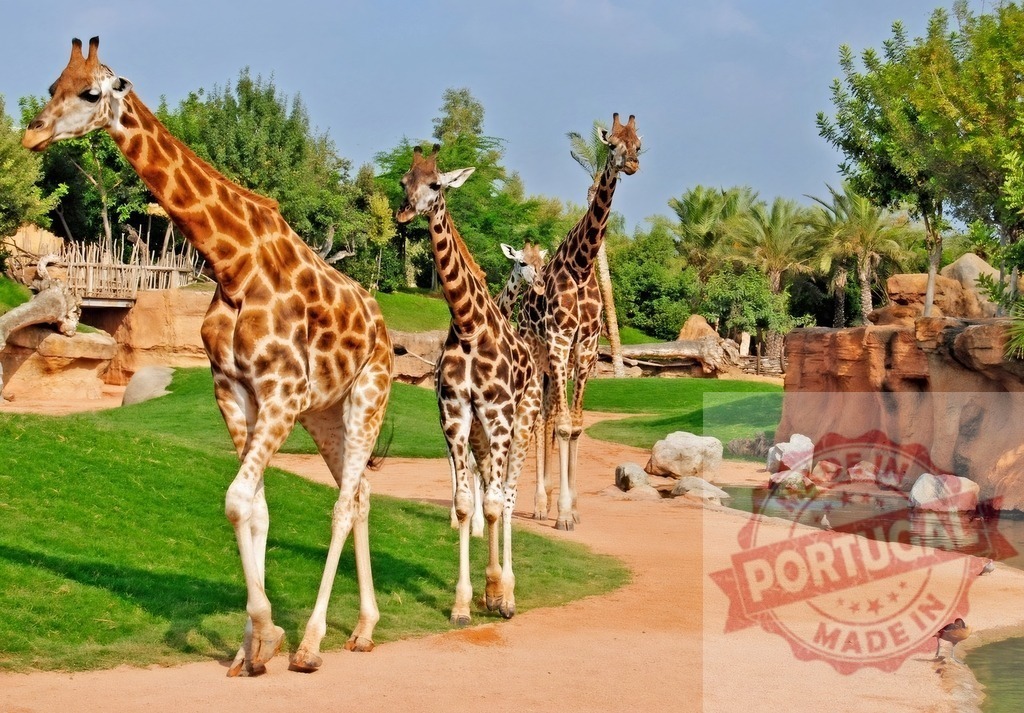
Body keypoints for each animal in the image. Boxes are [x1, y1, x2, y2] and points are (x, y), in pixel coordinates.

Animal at [23, 37, 393, 676]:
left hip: (367, 398)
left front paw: (273, 635)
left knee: (344, 504)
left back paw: (313, 643)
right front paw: (253, 647)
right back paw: (363, 630)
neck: (233, 262)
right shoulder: (234, 391)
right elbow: (255, 507)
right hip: (326, 413)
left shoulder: (281, 391)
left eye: (90, 92)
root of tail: (384, 328)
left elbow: (239, 499)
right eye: (51, 87)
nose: (31, 134)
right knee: (362, 496)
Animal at [396, 145, 542, 625]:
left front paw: (499, 594)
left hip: (522, 424)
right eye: (404, 180)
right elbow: (464, 502)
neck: (468, 323)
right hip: (480, 434)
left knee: (508, 497)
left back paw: (507, 593)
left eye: (436, 184)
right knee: (488, 490)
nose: (404, 212)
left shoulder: (498, 416)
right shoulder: (457, 415)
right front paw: (464, 603)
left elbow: (497, 501)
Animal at [520, 113, 641, 530]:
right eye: (612, 144)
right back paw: (538, 504)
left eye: (638, 143)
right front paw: (561, 515)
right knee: (538, 419)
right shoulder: (558, 342)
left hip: (558, 363)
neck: (583, 265)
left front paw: (573, 509)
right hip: (537, 356)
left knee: (549, 416)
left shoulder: (585, 350)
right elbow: (560, 425)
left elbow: (575, 426)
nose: (632, 163)